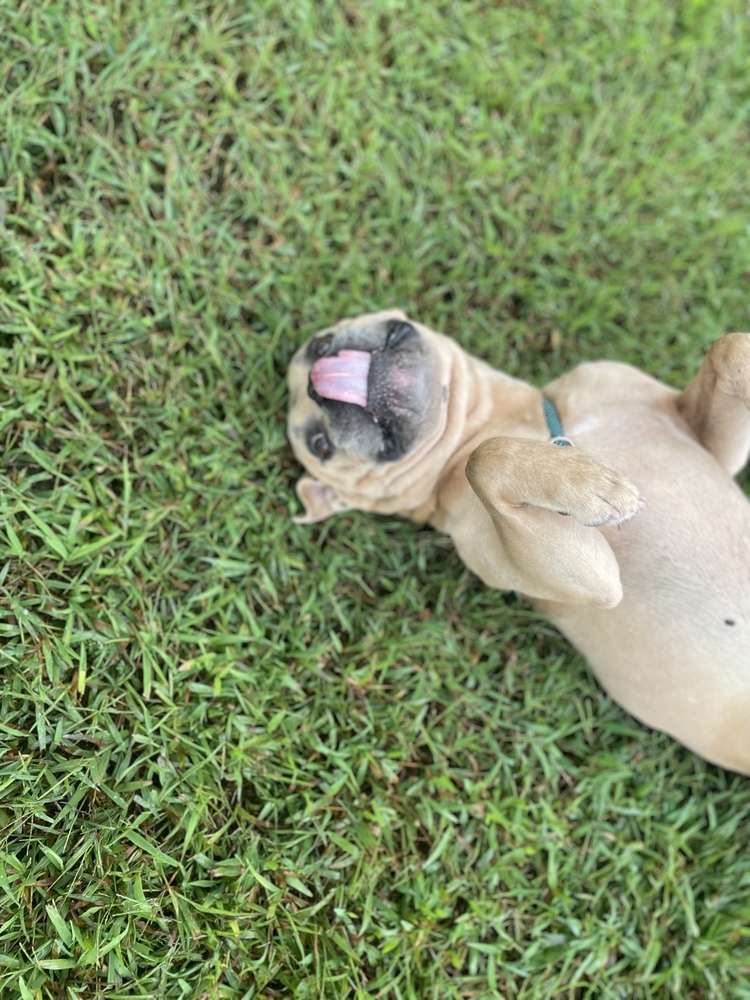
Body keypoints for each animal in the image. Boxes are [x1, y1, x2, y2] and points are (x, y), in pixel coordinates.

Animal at [288, 308, 750, 776]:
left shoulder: (708, 443)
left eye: (319, 345)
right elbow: (485, 458)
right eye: (319, 445)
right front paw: (585, 482)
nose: (314, 383)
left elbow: (731, 346)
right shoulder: (588, 577)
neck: (519, 424)